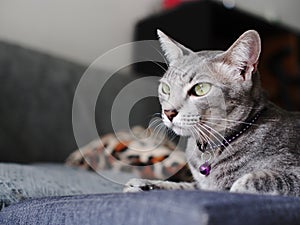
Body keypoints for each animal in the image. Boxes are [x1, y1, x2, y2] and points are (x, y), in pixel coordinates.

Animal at [123, 29, 298, 195]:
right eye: (166, 88)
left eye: (200, 89)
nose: (168, 112)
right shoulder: (200, 186)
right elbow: (180, 186)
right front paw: (143, 185)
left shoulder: (293, 174)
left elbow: (249, 181)